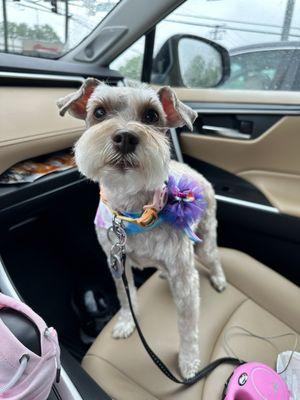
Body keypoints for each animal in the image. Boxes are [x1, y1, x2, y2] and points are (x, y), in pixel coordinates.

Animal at [57, 79, 226, 382]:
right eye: (98, 112)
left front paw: (189, 361)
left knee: (214, 258)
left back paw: (218, 279)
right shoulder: (115, 263)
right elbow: (125, 297)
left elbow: (187, 326)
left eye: (151, 115)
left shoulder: (184, 275)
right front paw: (126, 323)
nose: (125, 137)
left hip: (205, 237)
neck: (133, 214)